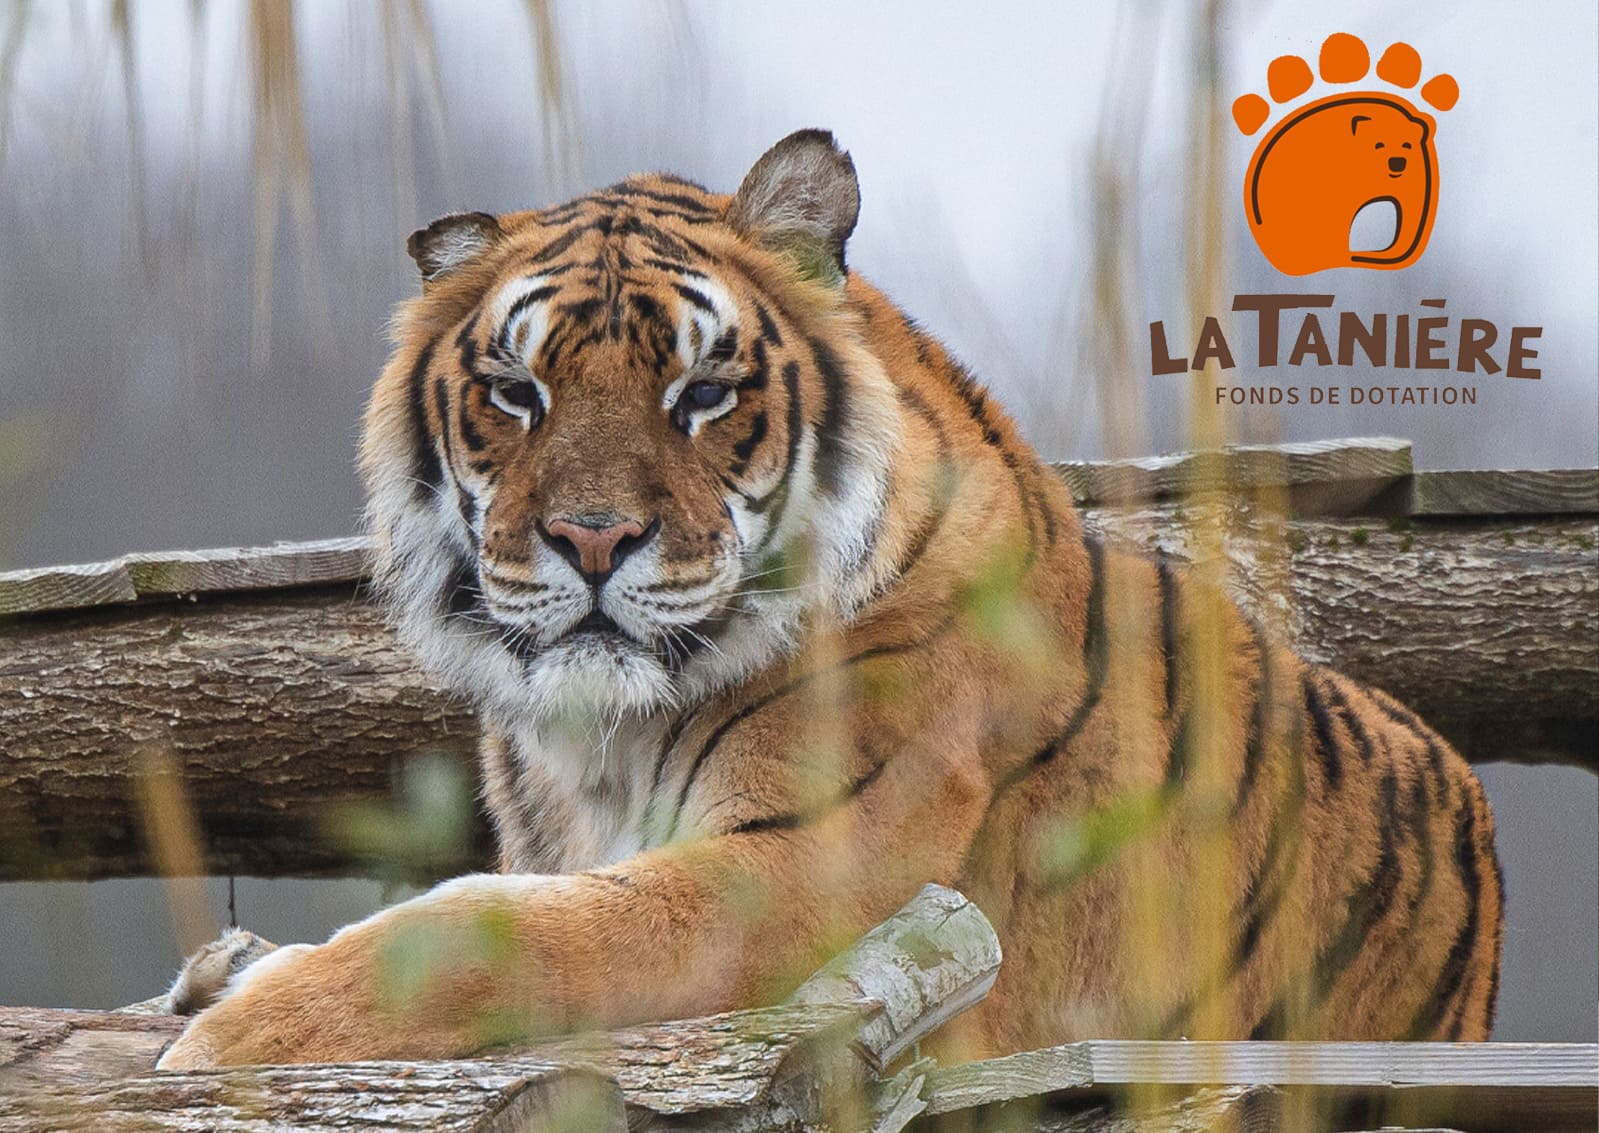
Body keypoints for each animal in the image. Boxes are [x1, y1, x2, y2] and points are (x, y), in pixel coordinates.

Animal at [158, 129, 1502, 1069]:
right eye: (515, 391)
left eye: (702, 391)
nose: (592, 539)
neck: (597, 743)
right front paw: (219, 976)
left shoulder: (794, 862)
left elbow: (498, 932)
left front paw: (236, 1028)